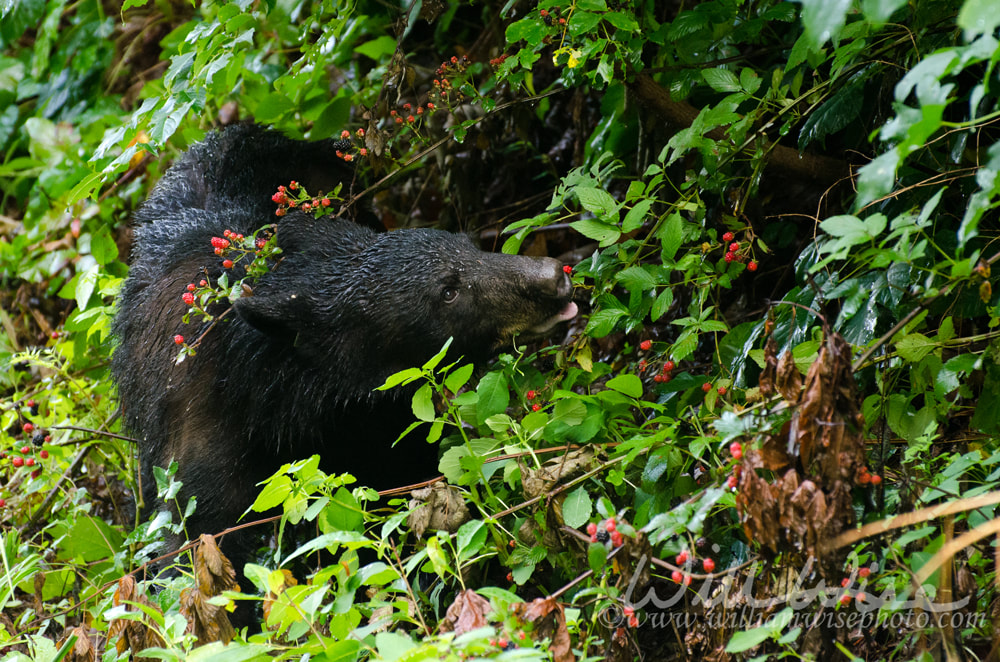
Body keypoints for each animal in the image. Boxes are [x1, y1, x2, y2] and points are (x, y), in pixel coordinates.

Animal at [111, 126, 580, 580]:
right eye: (447, 291)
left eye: (470, 245)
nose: (553, 276)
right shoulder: (198, 456)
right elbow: (195, 552)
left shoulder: (387, 425)